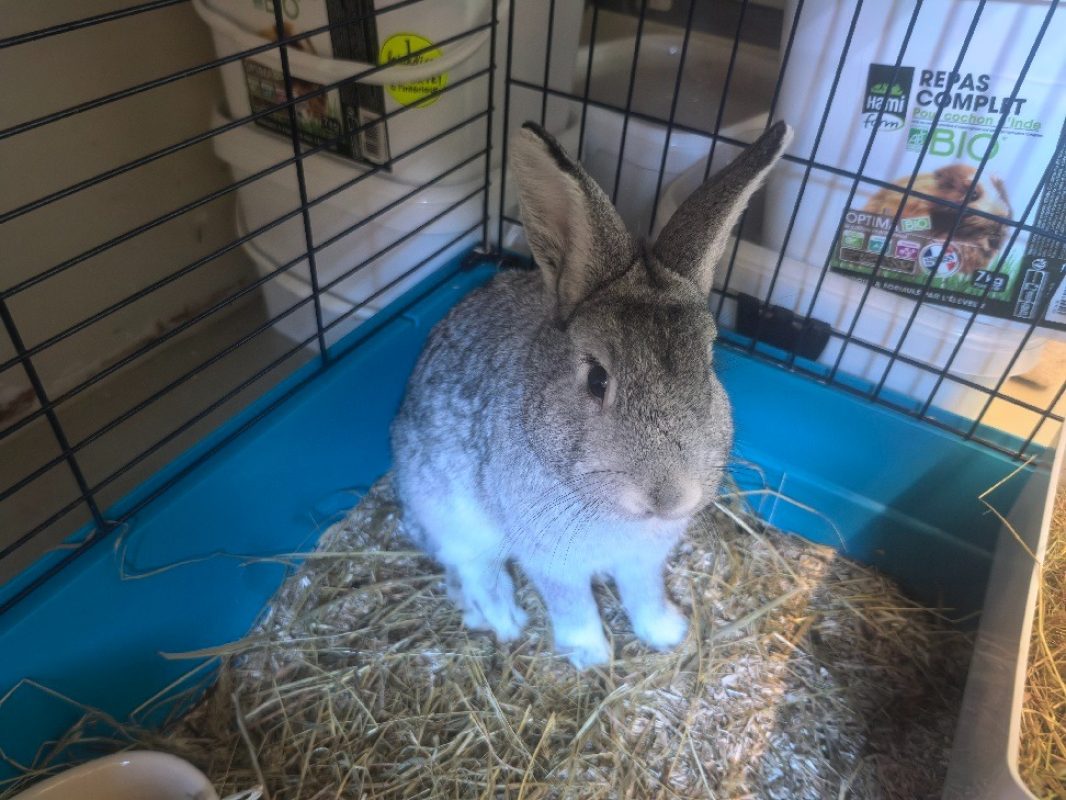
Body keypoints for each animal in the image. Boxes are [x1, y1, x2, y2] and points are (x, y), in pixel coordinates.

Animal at [390, 121, 792, 669]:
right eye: (597, 379)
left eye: (708, 366)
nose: (670, 497)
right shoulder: (551, 560)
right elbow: (572, 604)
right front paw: (591, 655)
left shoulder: (645, 560)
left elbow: (644, 593)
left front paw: (667, 632)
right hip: (453, 513)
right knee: (474, 568)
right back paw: (504, 620)